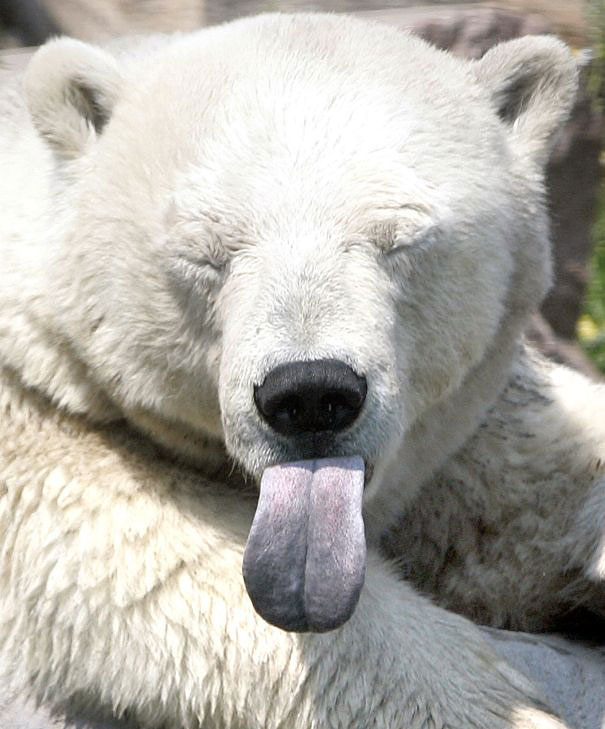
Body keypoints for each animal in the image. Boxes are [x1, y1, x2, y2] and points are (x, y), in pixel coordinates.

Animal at [0, 10, 604, 729]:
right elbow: (156, 563)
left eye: (402, 237)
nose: (311, 393)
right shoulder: (38, 427)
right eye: (206, 252)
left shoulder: (469, 430)